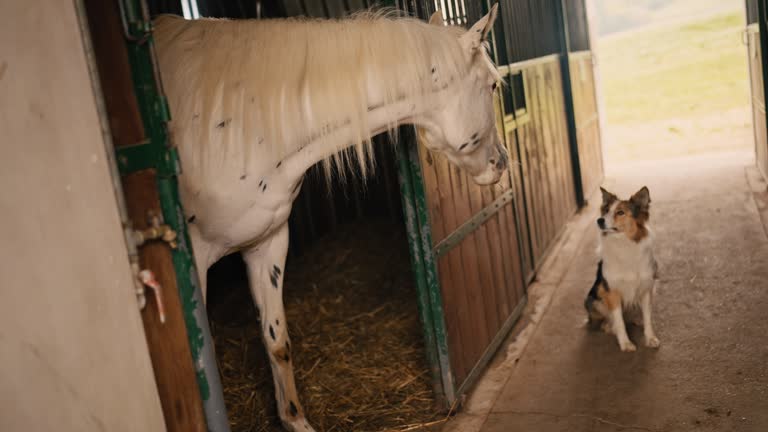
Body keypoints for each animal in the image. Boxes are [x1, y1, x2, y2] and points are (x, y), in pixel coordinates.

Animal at [153, 5, 508, 430]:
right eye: (493, 85)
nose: (501, 163)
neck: (239, 125)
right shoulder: (195, 266)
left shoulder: (267, 242)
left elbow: (278, 343)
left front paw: (295, 421)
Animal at [584, 186, 660, 352]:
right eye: (606, 210)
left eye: (620, 212)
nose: (599, 220)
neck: (623, 243)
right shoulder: (612, 291)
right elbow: (619, 321)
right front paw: (625, 343)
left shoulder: (646, 287)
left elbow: (648, 317)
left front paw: (650, 338)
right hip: (595, 297)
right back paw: (608, 326)